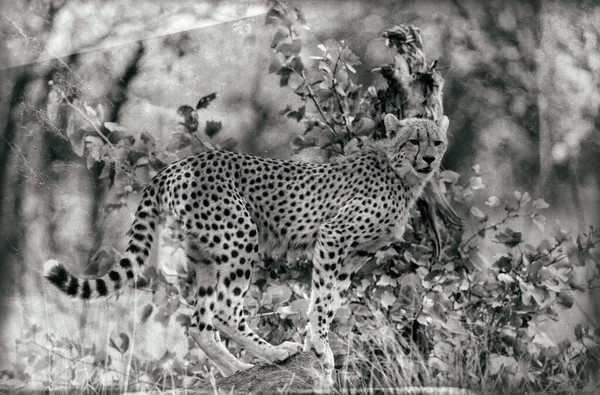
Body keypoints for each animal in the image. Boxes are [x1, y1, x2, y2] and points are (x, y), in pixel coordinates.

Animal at [45, 113, 450, 378]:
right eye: (414, 140)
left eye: (437, 141)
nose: (430, 158)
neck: (400, 173)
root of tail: (176, 165)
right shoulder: (333, 236)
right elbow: (322, 301)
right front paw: (318, 347)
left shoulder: (354, 257)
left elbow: (331, 299)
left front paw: (316, 343)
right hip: (241, 236)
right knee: (224, 311)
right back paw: (273, 353)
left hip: (207, 255)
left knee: (200, 322)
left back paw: (237, 368)